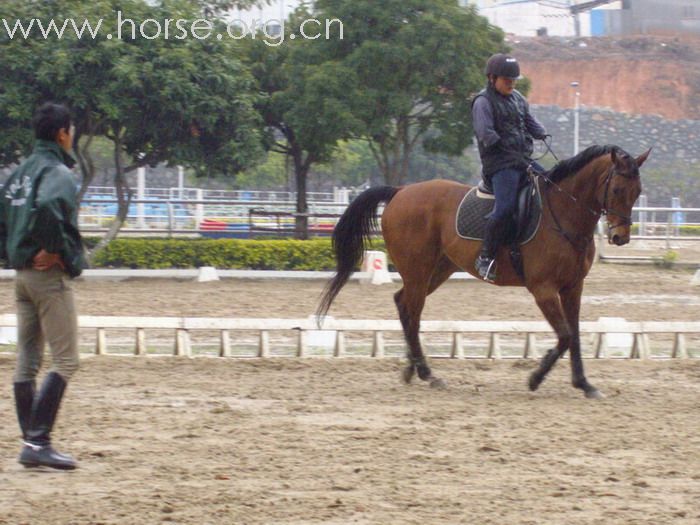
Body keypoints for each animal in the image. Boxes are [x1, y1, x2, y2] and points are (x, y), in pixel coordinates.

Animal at [318, 143, 652, 398]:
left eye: (638, 191)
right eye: (617, 189)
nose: (620, 238)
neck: (563, 213)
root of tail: (400, 191)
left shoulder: (573, 288)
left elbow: (576, 336)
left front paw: (584, 384)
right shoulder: (543, 289)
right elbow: (565, 336)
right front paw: (535, 378)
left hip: (437, 270)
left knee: (405, 306)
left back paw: (413, 369)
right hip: (418, 269)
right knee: (411, 309)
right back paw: (426, 373)